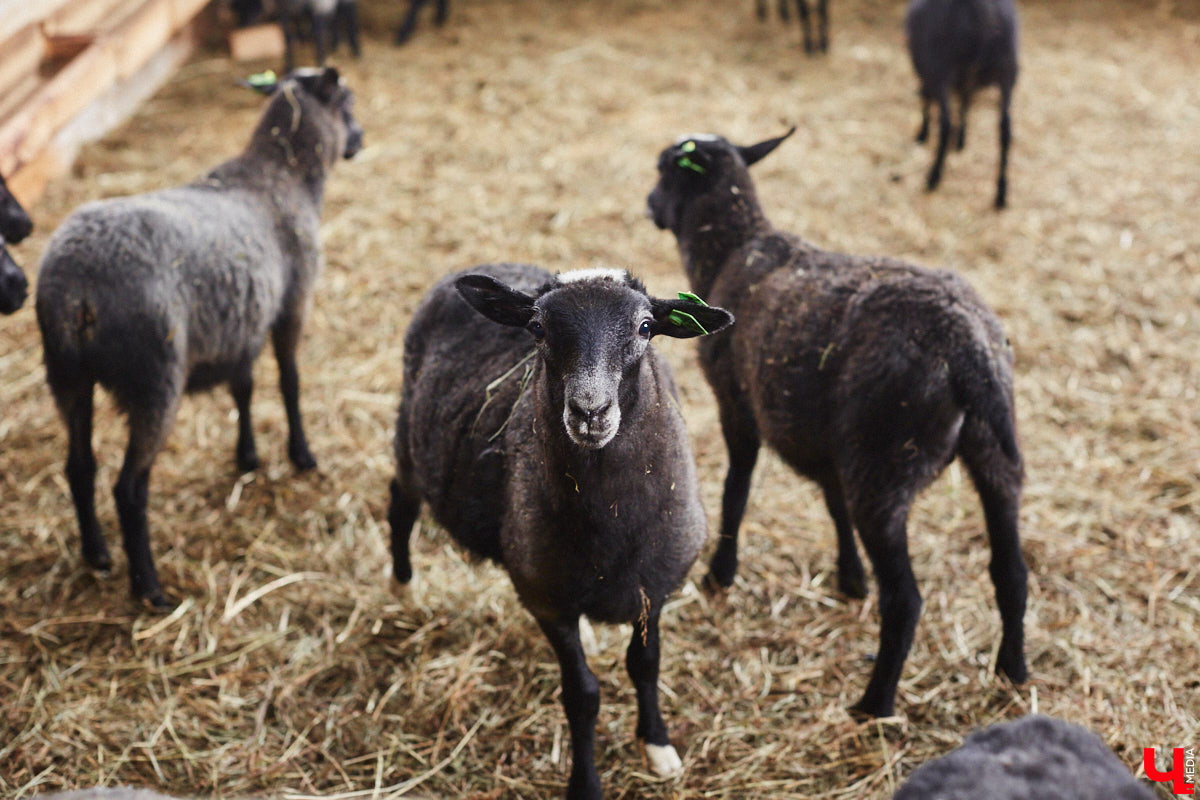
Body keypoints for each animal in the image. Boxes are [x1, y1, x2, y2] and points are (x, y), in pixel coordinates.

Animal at [37, 65, 362, 609]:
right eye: (347, 104)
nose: (360, 139)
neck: (282, 177)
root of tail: (76, 292)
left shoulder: (242, 324)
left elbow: (243, 389)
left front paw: (247, 457)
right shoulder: (291, 306)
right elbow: (290, 382)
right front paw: (301, 454)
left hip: (66, 377)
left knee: (79, 467)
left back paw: (97, 554)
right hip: (155, 378)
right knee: (128, 489)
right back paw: (148, 587)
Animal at [391, 263, 729, 800]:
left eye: (646, 328)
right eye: (537, 329)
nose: (590, 412)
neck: (613, 523)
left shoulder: (653, 589)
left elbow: (646, 666)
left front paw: (658, 746)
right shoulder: (545, 599)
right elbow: (582, 694)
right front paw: (585, 783)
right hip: (409, 436)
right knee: (400, 504)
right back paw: (401, 586)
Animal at [652, 130, 1027, 719]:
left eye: (664, 169)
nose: (650, 205)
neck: (731, 250)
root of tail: (965, 346)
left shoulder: (738, 405)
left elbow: (737, 487)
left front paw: (721, 572)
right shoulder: (826, 436)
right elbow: (832, 503)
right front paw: (850, 577)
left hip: (885, 465)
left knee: (906, 600)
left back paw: (874, 703)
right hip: (989, 455)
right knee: (1011, 572)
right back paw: (1013, 670)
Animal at [907, 0, 1022, 209]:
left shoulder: (927, 70)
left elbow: (927, 100)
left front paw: (923, 134)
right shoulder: (966, 82)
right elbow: (965, 103)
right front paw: (961, 139)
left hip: (941, 69)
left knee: (945, 123)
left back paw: (933, 177)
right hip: (1007, 73)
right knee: (1005, 132)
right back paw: (1001, 193)